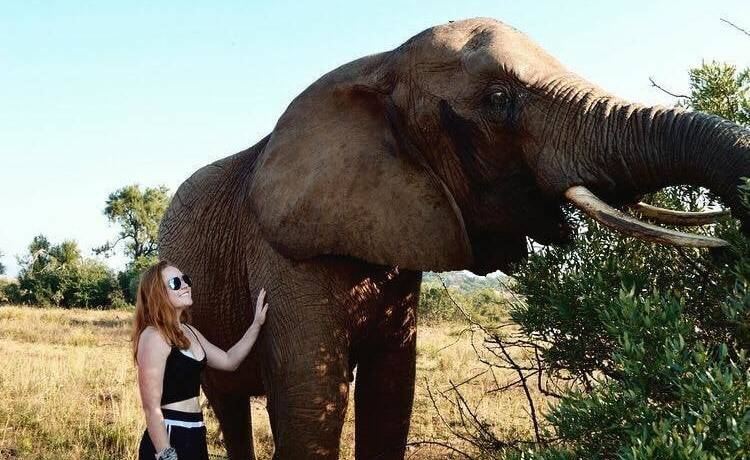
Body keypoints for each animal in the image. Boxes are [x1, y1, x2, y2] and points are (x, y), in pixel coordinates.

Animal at [158, 17, 750, 459]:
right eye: (498, 98)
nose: (730, 248)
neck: (381, 62)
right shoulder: (285, 257)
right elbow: (310, 404)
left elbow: (390, 396)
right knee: (226, 404)